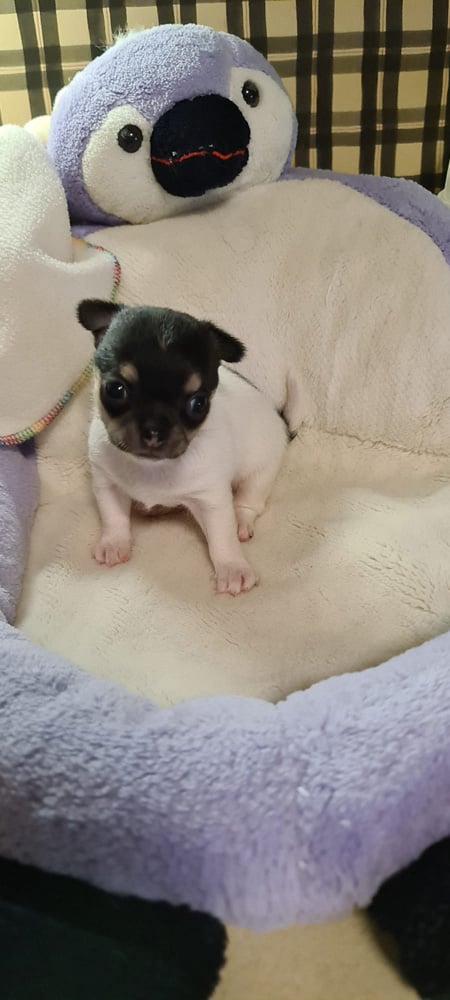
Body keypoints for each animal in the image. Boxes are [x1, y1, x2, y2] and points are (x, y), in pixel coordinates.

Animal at [78, 299, 288, 596]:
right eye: (115, 389)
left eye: (198, 404)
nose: (154, 430)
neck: (151, 469)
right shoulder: (107, 484)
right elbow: (114, 517)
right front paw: (113, 544)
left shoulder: (211, 499)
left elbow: (222, 538)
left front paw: (232, 568)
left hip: (262, 469)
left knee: (249, 500)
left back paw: (241, 521)